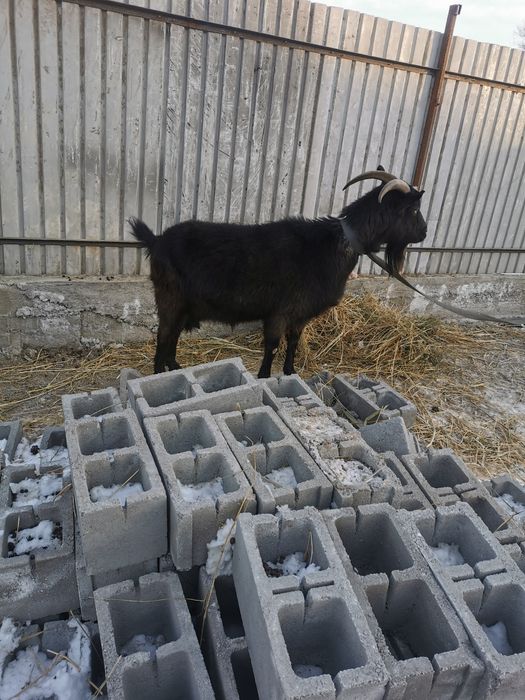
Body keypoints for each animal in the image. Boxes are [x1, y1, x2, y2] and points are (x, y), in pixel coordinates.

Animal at [130, 168, 427, 378]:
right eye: (413, 210)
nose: (424, 233)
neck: (335, 244)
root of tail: (156, 240)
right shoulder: (279, 311)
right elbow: (272, 345)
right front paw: (264, 377)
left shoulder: (300, 313)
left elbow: (293, 342)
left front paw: (290, 372)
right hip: (170, 297)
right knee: (164, 335)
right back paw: (157, 375)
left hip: (184, 305)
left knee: (173, 335)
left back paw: (175, 367)